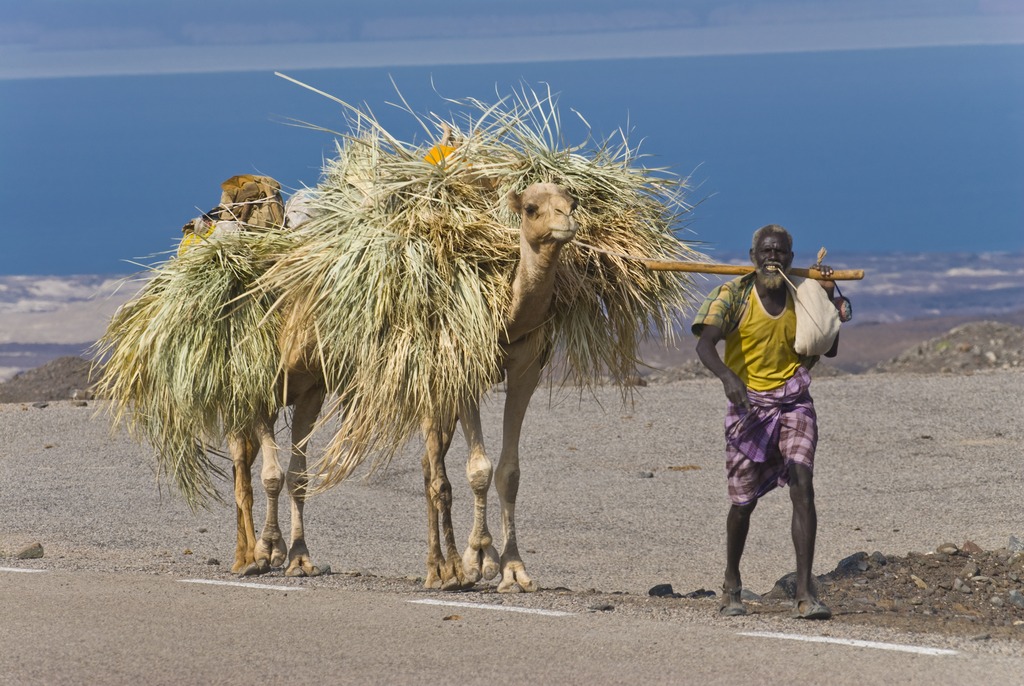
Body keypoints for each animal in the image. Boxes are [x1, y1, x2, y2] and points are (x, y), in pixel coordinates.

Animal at [415, 184, 577, 597]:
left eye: (573, 201)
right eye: (532, 207)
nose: (567, 220)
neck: (507, 314)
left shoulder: (527, 369)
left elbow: (509, 472)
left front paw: (514, 570)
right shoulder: (465, 370)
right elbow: (479, 469)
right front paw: (478, 558)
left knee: (428, 465)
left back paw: (440, 569)